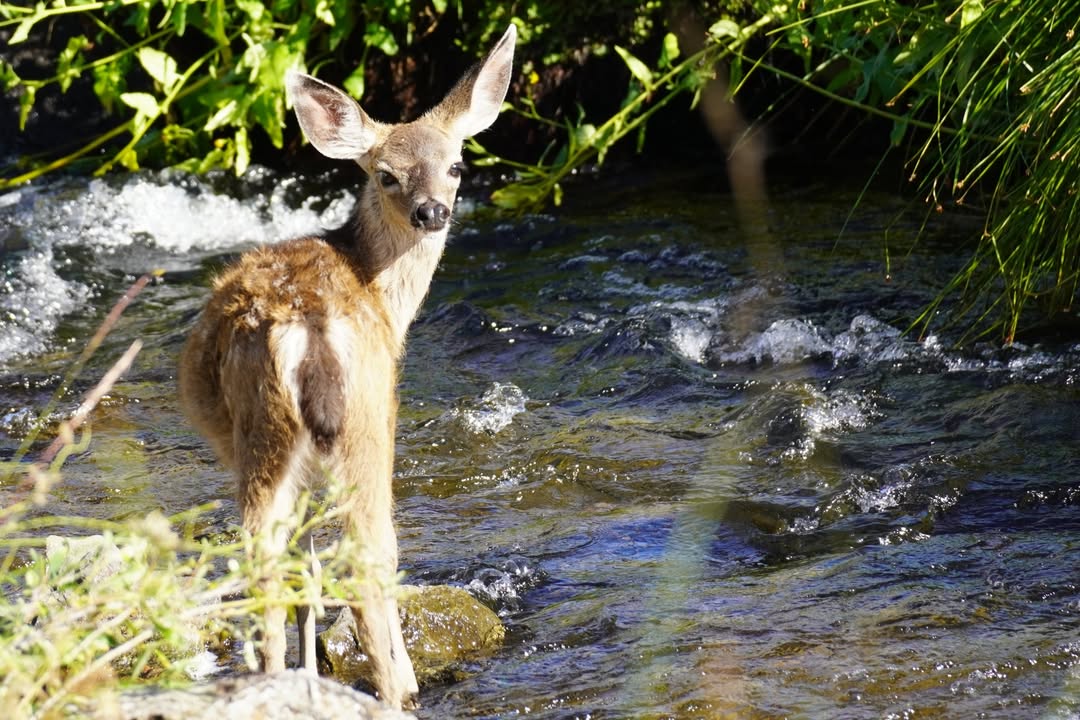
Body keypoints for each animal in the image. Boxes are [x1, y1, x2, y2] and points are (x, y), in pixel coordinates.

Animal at [178, 24, 516, 710]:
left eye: (457, 164)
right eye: (386, 175)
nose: (431, 211)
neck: (383, 293)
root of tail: (309, 325)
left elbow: (305, 572)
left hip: (267, 439)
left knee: (270, 560)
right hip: (359, 425)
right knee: (368, 554)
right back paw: (395, 691)